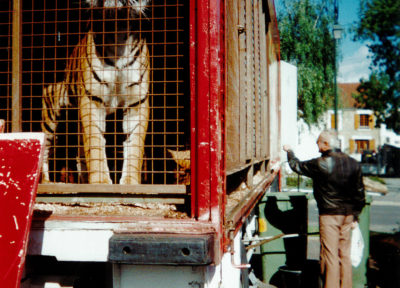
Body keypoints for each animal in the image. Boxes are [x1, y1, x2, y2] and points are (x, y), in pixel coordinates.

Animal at [41, 0, 150, 184]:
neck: (118, 29)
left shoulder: (136, 102)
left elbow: (135, 146)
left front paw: (130, 182)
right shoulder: (92, 99)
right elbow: (95, 143)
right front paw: (100, 181)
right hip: (53, 107)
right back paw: (46, 182)